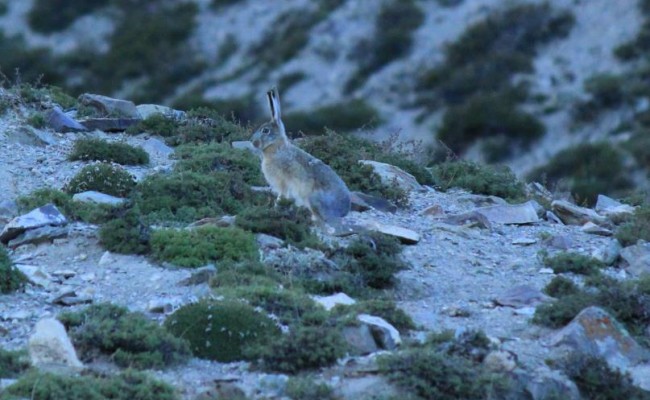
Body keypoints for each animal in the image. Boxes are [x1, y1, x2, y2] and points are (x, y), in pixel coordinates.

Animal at [250, 87, 351, 223]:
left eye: (265, 130)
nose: (252, 142)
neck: (276, 148)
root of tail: (343, 211)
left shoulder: (283, 181)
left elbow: (282, 195)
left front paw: (276, 206)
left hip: (313, 198)